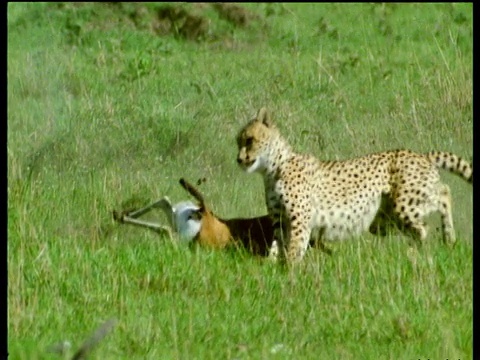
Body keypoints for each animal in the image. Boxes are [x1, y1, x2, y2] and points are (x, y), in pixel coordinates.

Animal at [236, 107, 472, 264]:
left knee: (440, 199)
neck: (274, 167)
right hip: (384, 221)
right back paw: (440, 242)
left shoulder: (299, 219)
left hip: (404, 204)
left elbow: (295, 246)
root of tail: (419, 154)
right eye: (238, 142)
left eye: (249, 140)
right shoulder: (279, 219)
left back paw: (437, 242)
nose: (239, 159)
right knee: (427, 215)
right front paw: (271, 267)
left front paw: (290, 273)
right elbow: (277, 244)